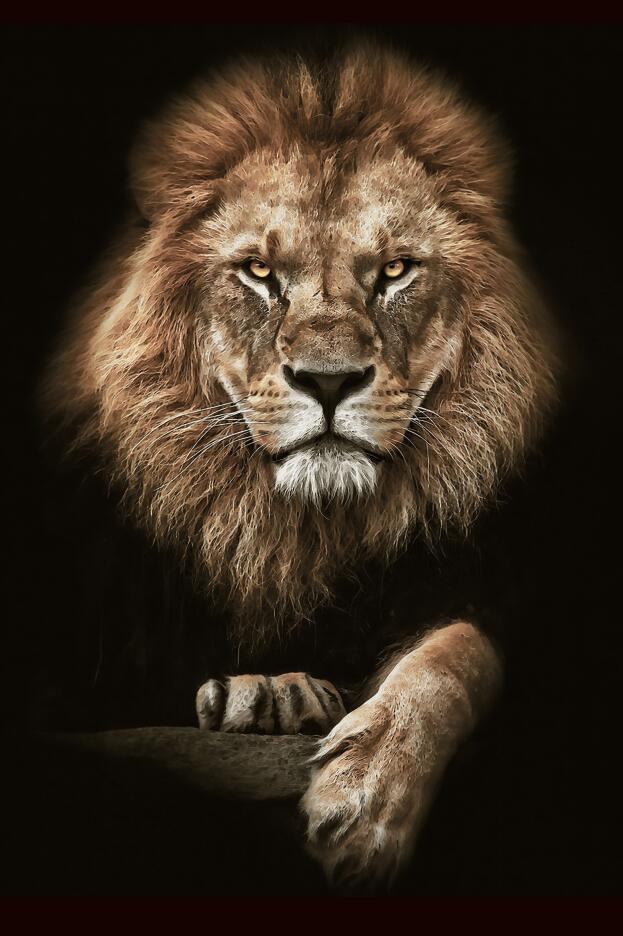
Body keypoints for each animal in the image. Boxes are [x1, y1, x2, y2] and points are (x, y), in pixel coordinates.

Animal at [42, 42, 558, 889]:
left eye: (394, 270)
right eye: (257, 272)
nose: (327, 380)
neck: (296, 532)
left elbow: (456, 655)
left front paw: (368, 797)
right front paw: (268, 694)